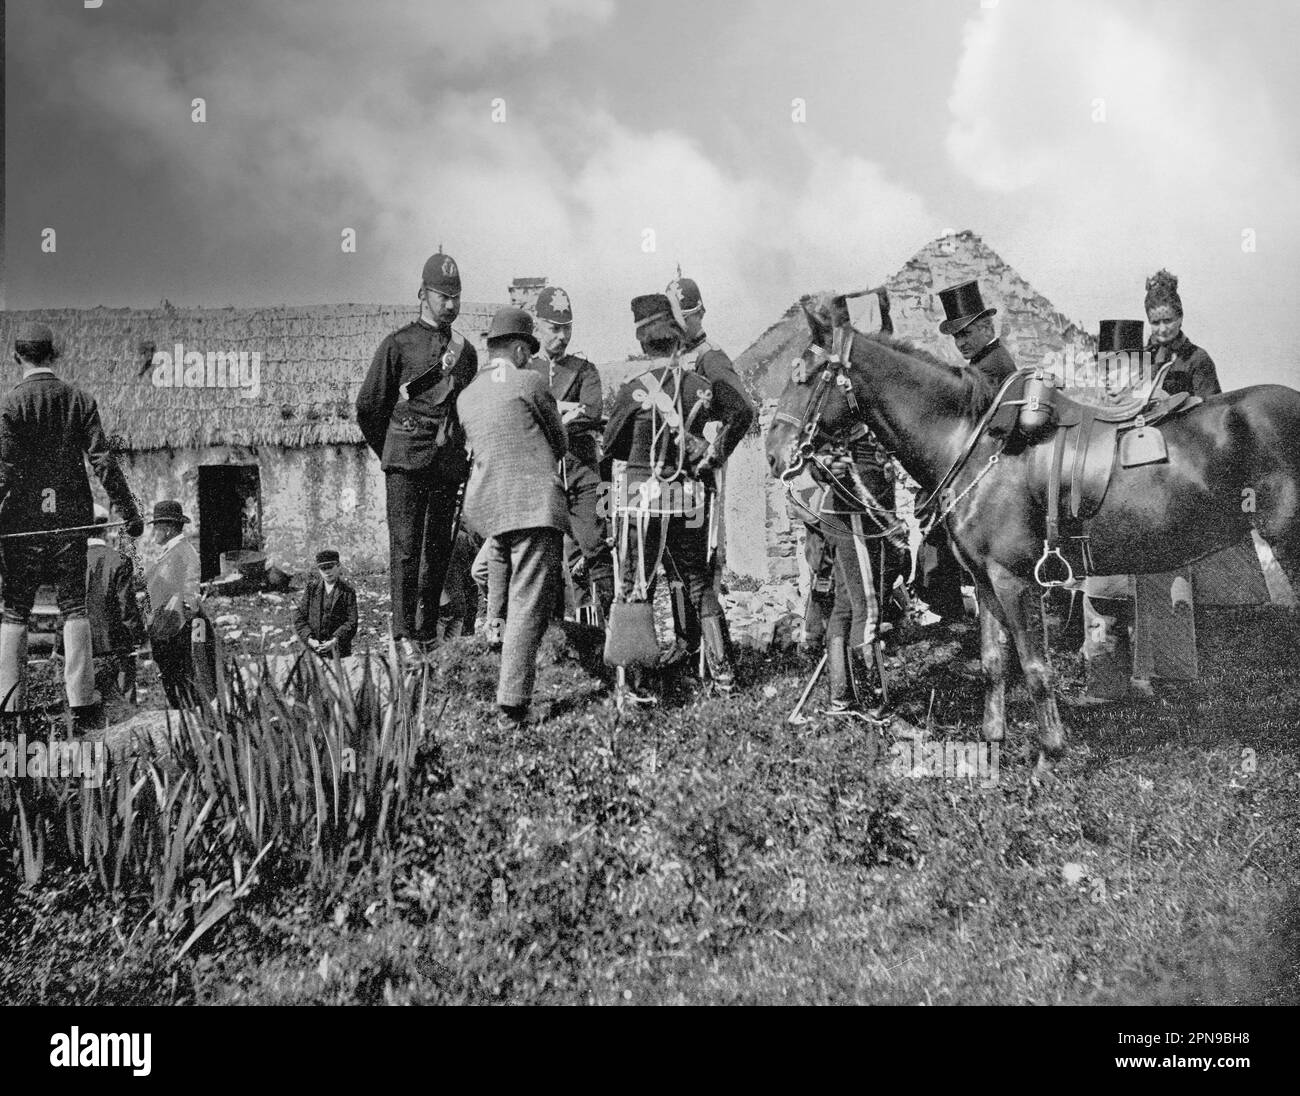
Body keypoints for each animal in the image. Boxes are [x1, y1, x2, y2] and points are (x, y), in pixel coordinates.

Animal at [764, 291, 1300, 769]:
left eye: (805, 376)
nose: (773, 453)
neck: (973, 443)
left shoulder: (1014, 581)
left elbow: (1036, 668)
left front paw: (1049, 755)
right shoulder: (982, 583)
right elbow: (993, 664)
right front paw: (993, 745)